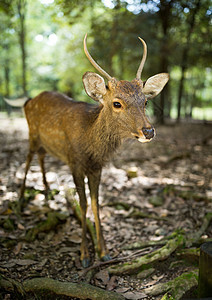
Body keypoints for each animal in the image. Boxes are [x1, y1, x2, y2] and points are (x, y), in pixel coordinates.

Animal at [5, 34, 170, 268]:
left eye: (146, 101)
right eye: (117, 103)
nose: (148, 131)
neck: (91, 147)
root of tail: (29, 100)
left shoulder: (97, 168)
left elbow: (96, 203)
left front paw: (104, 252)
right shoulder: (75, 163)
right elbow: (82, 204)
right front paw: (84, 255)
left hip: (44, 143)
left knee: (41, 156)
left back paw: (47, 190)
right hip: (32, 133)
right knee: (28, 158)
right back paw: (20, 198)